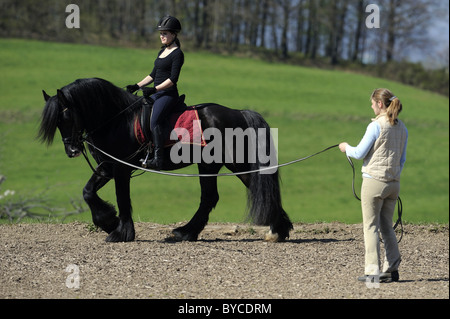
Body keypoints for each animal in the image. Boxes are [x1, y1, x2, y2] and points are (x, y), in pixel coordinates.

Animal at [37, 78, 292, 242]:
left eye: (67, 116)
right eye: (57, 122)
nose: (72, 150)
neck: (117, 119)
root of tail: (239, 112)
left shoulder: (121, 168)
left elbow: (122, 198)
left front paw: (121, 232)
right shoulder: (108, 166)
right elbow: (88, 191)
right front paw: (108, 221)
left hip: (223, 163)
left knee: (222, 194)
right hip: (218, 164)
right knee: (218, 195)